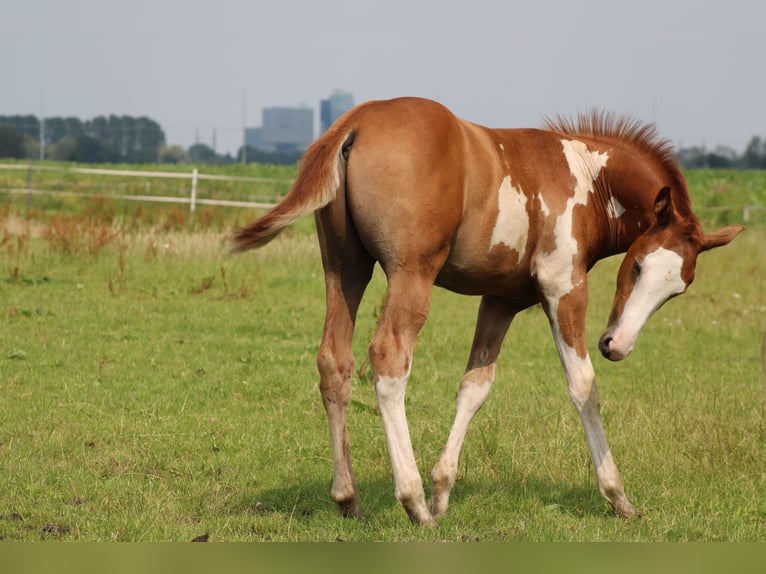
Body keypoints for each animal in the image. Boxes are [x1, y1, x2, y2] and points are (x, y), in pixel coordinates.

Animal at [234, 98, 744, 528]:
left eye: (677, 289)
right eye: (637, 265)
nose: (616, 345)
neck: (586, 178)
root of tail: (356, 121)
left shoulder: (502, 301)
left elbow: (474, 387)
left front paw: (443, 490)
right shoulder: (562, 287)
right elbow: (584, 387)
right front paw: (619, 497)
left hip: (345, 268)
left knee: (334, 361)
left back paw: (349, 498)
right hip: (410, 273)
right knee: (389, 358)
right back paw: (413, 502)